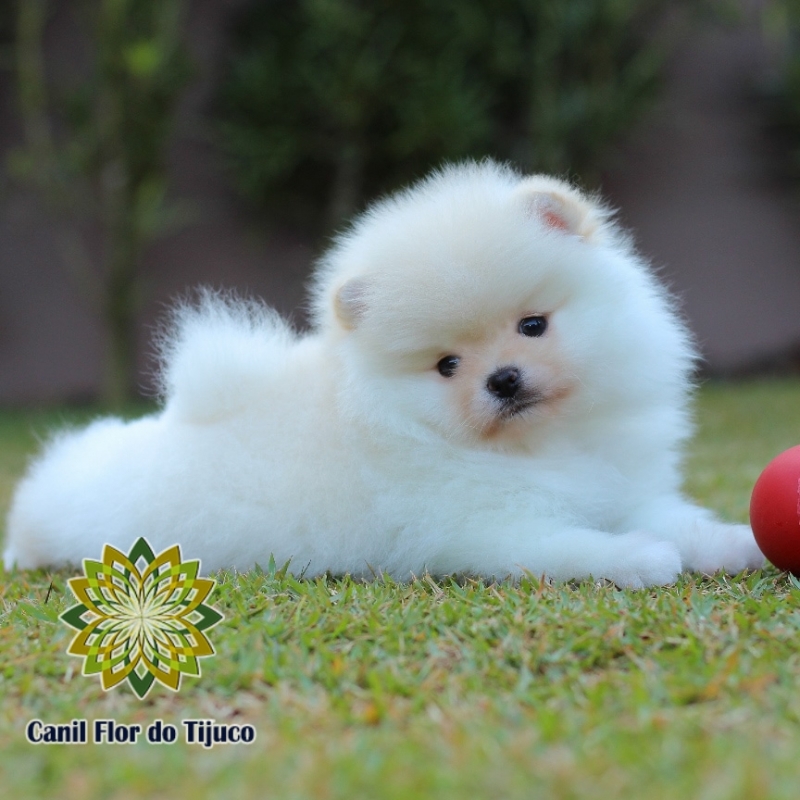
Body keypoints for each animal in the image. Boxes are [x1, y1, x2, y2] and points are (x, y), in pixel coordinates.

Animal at [4, 162, 764, 588]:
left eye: (532, 325)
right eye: (447, 365)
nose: (503, 379)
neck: (543, 445)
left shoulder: (622, 486)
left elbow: (683, 522)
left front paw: (739, 543)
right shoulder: (480, 529)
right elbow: (569, 547)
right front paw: (640, 560)